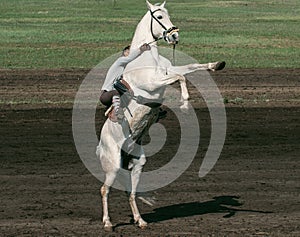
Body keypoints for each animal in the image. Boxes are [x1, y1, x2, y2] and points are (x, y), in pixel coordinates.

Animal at [96, 0, 225, 231]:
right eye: (158, 16)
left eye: (167, 13)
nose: (174, 36)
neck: (148, 57)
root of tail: (100, 144)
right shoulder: (153, 83)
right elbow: (180, 77)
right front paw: (185, 101)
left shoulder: (167, 72)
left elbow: (190, 68)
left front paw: (216, 65)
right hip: (112, 166)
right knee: (105, 190)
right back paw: (108, 223)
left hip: (136, 164)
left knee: (131, 192)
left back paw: (140, 220)